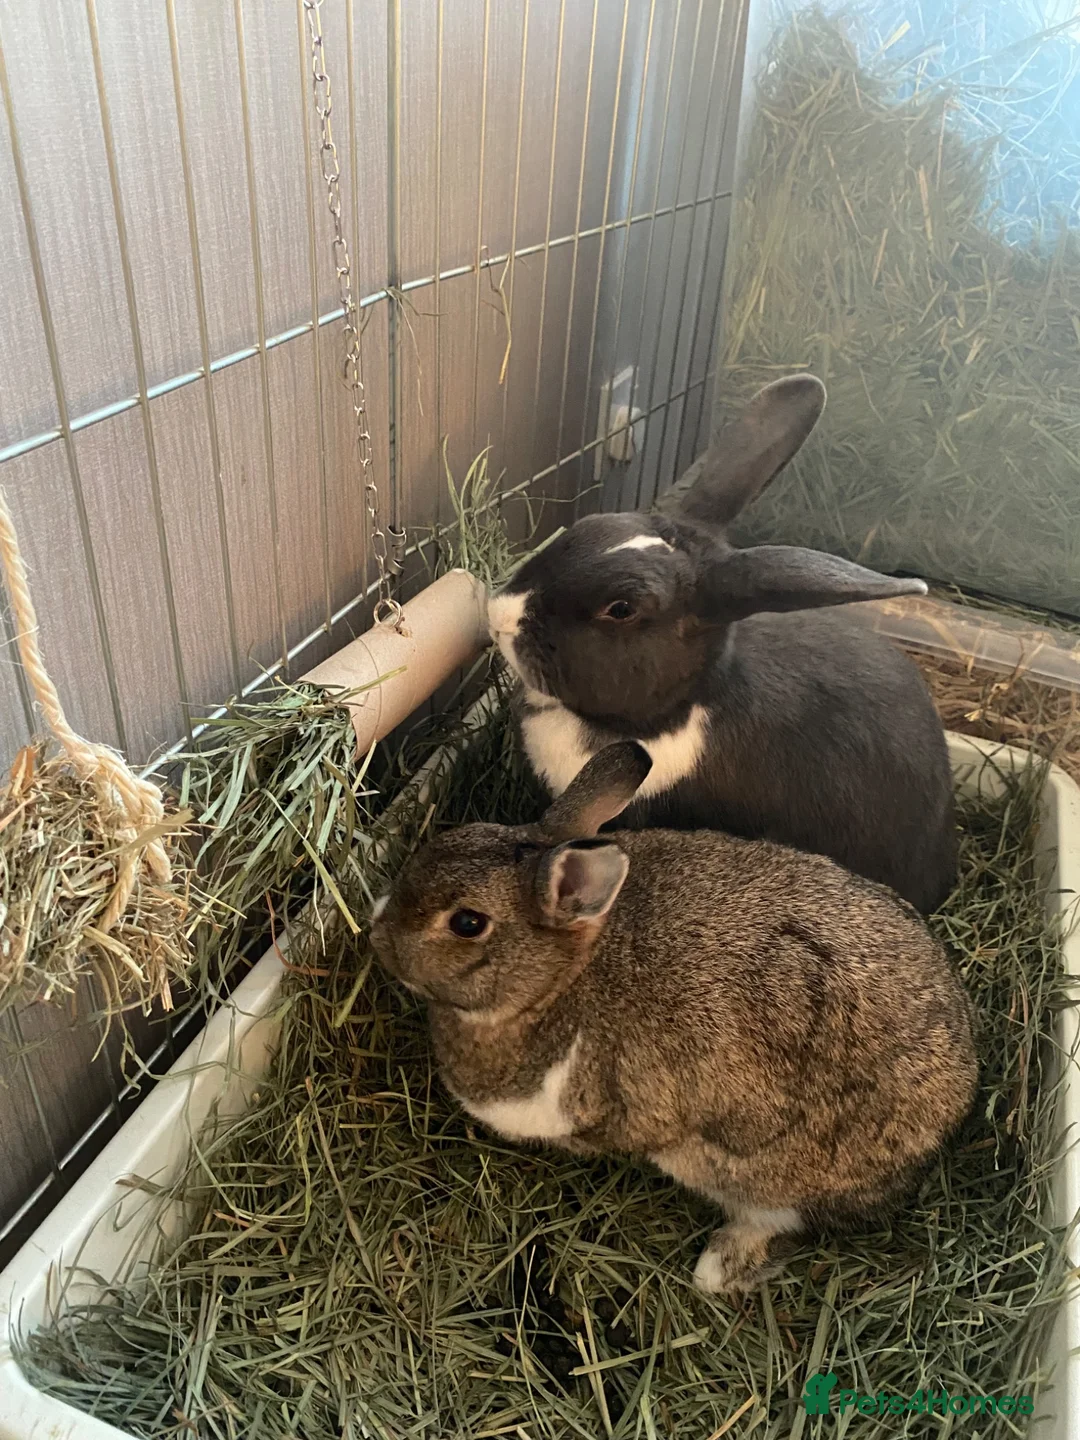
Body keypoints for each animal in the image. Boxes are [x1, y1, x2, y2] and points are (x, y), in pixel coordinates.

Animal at [369, 742, 977, 1295]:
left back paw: (717, 1269)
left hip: (765, 1176)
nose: (377, 934)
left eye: (467, 923)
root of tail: (954, 1112)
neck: (559, 981)